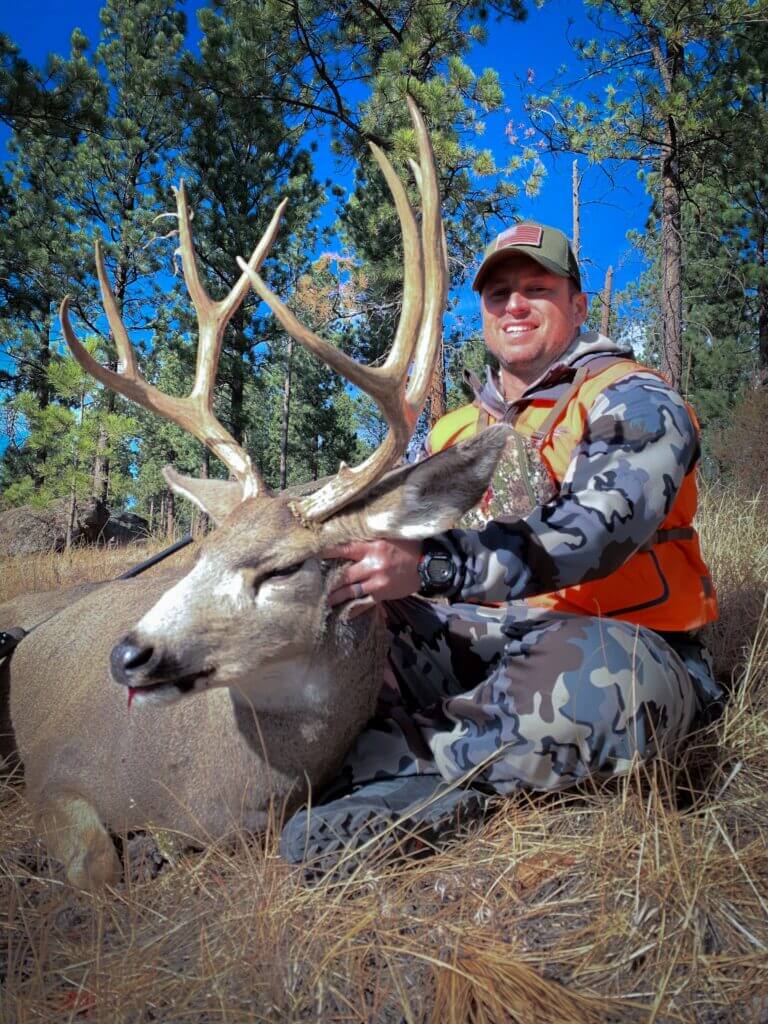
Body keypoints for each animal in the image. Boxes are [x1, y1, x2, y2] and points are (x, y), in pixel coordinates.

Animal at [1, 99, 508, 890]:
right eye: (199, 554)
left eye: (283, 568)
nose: (129, 655)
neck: (203, 791)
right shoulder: (56, 775)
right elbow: (97, 866)